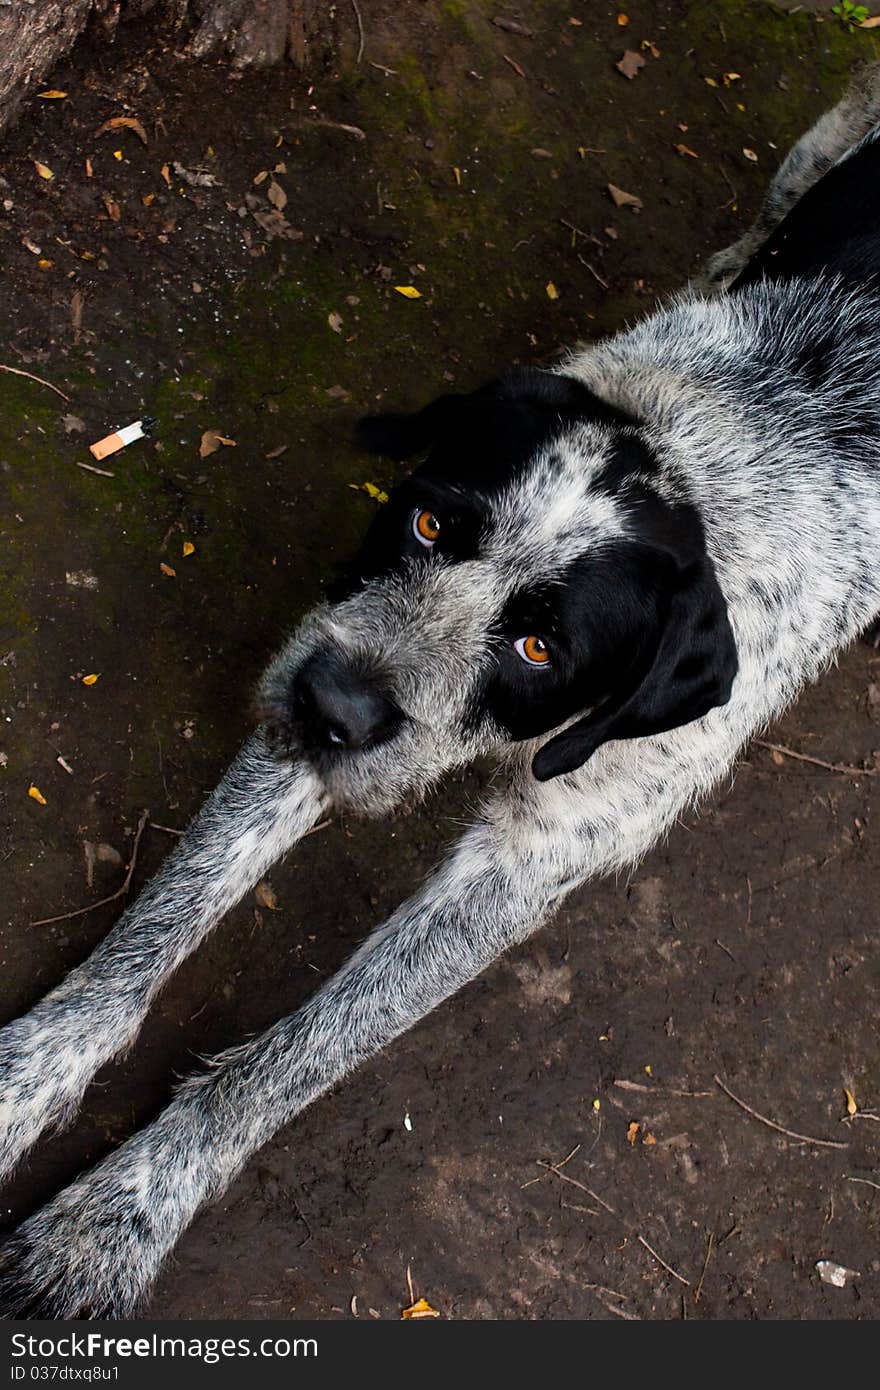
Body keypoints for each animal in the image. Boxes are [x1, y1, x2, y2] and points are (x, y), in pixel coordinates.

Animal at [1, 67, 878, 1323]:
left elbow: (299, 1053)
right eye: (425, 519)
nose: (328, 706)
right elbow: (154, 930)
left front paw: (122, 1210)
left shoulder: (525, 860)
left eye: (539, 647)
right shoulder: (337, 657)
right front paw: (23, 1079)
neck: (721, 452)